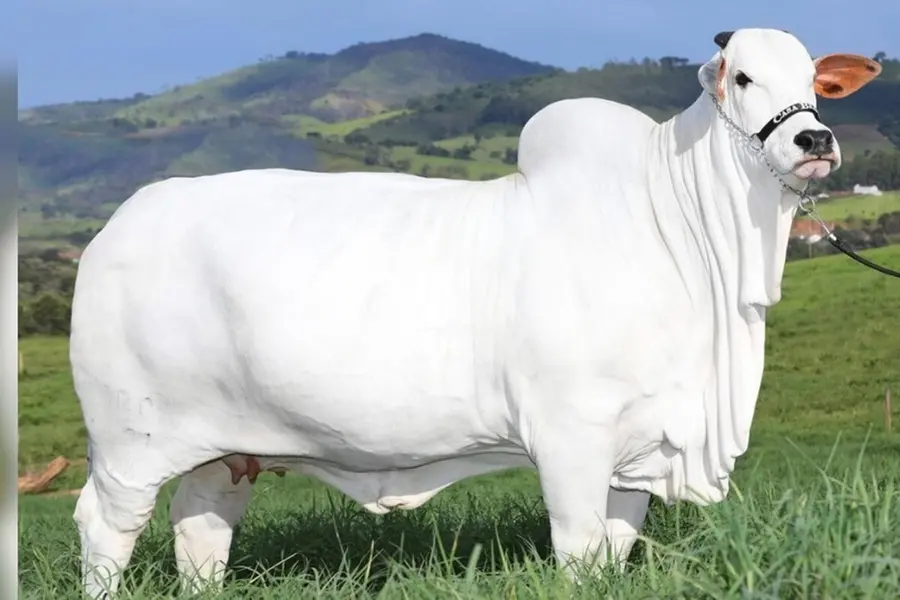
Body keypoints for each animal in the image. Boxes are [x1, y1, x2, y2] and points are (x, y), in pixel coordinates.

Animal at [69, 28, 881, 598]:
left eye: (815, 84)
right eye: (742, 76)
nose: (814, 139)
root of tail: (116, 228)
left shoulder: (638, 449)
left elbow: (614, 552)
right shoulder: (570, 438)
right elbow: (580, 552)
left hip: (225, 450)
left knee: (200, 528)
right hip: (130, 444)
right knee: (104, 529)